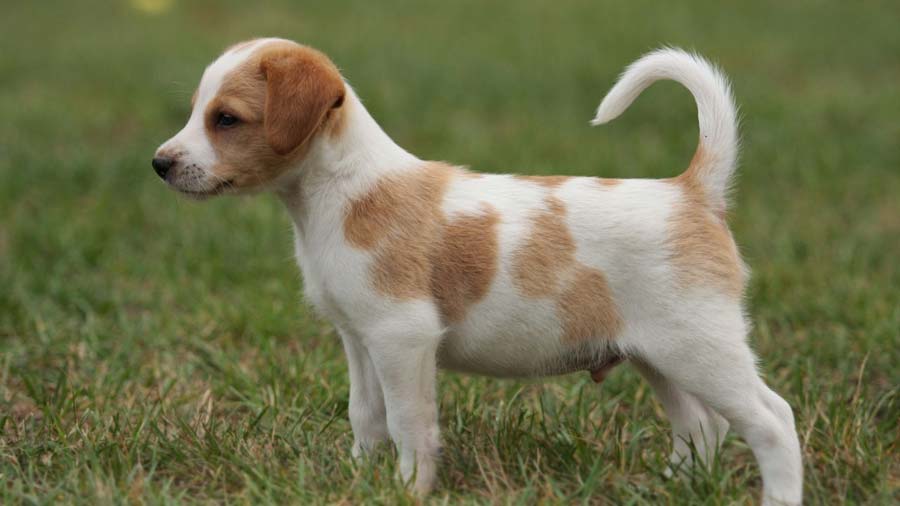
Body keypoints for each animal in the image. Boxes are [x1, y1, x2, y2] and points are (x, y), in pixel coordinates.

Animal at [153, 37, 800, 504]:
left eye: (226, 119)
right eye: (198, 111)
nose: (160, 164)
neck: (344, 193)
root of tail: (693, 192)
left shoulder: (402, 339)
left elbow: (409, 424)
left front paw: (408, 490)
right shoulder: (358, 341)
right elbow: (367, 415)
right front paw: (359, 477)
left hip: (702, 350)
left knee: (772, 421)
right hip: (657, 357)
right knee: (701, 427)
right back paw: (674, 487)